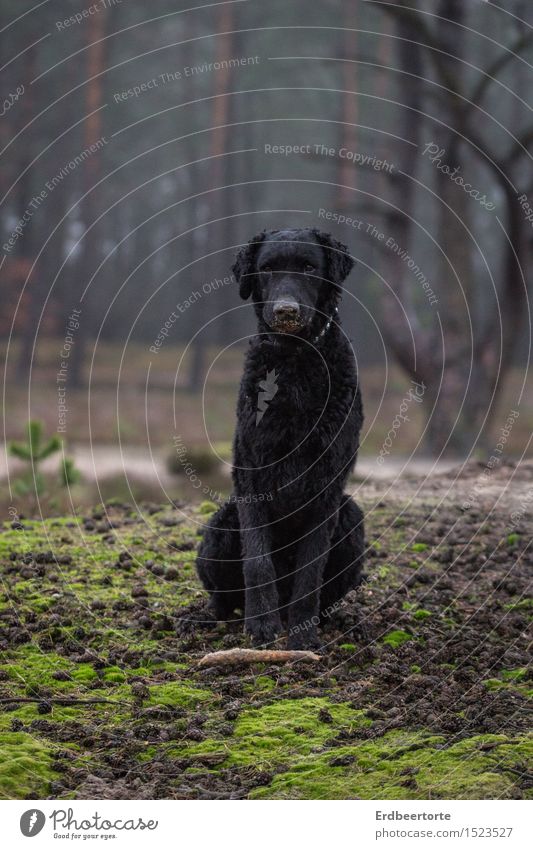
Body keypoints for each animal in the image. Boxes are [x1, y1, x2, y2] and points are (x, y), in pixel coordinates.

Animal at [196, 227, 366, 648]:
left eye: (308, 267)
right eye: (267, 268)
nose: (285, 311)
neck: (295, 359)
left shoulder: (327, 484)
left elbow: (310, 569)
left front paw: (302, 638)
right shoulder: (252, 473)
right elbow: (258, 563)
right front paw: (261, 626)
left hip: (350, 518)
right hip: (223, 522)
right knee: (224, 598)